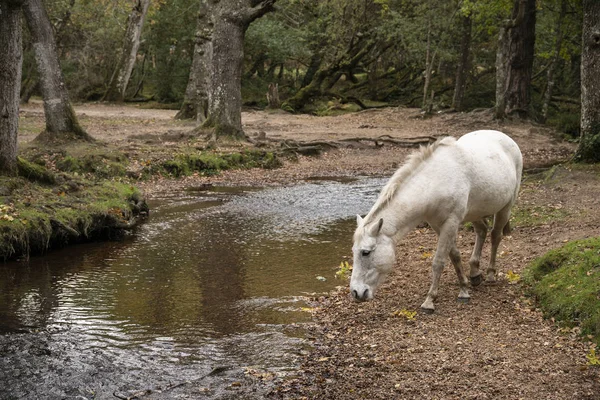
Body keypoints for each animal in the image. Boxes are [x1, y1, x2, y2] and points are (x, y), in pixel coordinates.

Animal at [350, 130, 524, 312]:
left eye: (365, 252)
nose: (356, 292)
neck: (434, 182)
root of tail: (506, 137)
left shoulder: (451, 223)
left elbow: (439, 261)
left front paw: (430, 300)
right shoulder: (438, 225)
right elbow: (454, 255)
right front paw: (464, 288)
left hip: (506, 207)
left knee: (495, 236)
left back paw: (490, 274)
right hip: (475, 213)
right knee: (482, 231)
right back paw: (475, 273)